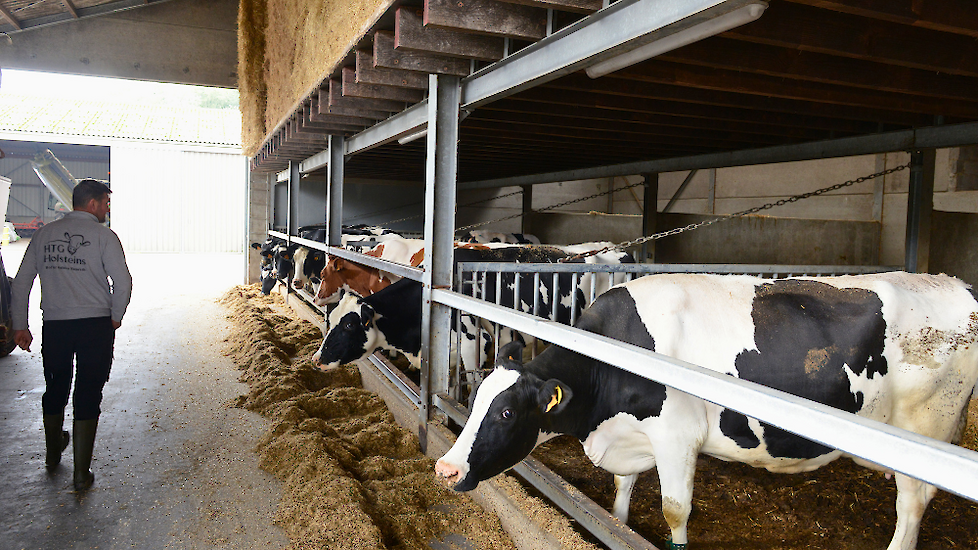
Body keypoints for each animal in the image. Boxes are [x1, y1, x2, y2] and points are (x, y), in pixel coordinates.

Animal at [438, 274, 976, 550]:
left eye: (507, 415)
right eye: (477, 397)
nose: (446, 468)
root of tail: (955, 285)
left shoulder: (677, 437)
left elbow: (675, 510)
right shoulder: (632, 434)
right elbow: (621, 491)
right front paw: (618, 525)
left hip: (926, 426)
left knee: (912, 506)